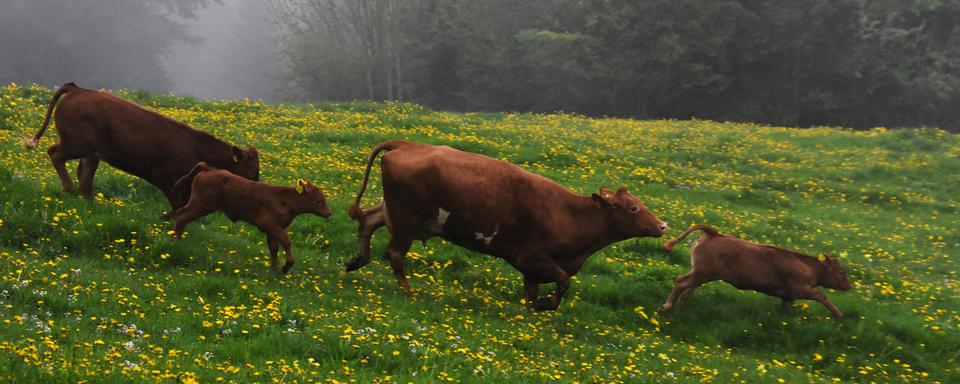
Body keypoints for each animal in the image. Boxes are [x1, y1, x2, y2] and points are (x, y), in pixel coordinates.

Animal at [23, 83, 258, 216]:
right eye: (251, 171)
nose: (254, 188)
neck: (196, 149)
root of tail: (77, 89)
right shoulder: (166, 179)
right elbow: (178, 207)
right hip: (77, 144)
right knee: (55, 153)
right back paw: (68, 187)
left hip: (91, 154)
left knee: (85, 179)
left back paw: (89, 205)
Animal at [172, 162, 334, 272]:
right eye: (318, 201)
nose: (329, 213)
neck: (284, 199)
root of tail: (210, 169)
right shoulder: (268, 224)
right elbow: (286, 241)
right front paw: (286, 267)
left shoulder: (273, 230)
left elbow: (274, 248)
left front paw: (275, 269)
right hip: (201, 206)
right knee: (182, 218)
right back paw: (177, 242)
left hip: (196, 205)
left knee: (179, 214)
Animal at [344, 140, 668, 310]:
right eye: (633, 207)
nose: (663, 225)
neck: (571, 214)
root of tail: (409, 143)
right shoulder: (534, 258)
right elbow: (564, 282)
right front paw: (546, 305)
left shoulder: (532, 271)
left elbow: (532, 293)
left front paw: (532, 309)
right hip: (406, 219)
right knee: (395, 252)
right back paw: (407, 289)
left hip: (399, 214)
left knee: (368, 221)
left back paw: (357, 260)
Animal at [656, 224, 852, 316]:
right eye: (840, 272)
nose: (849, 286)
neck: (806, 265)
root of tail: (714, 233)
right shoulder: (802, 289)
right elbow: (822, 296)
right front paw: (838, 314)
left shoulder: (788, 296)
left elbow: (785, 308)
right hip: (702, 274)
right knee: (682, 283)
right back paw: (667, 306)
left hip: (701, 274)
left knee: (687, 289)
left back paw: (679, 309)